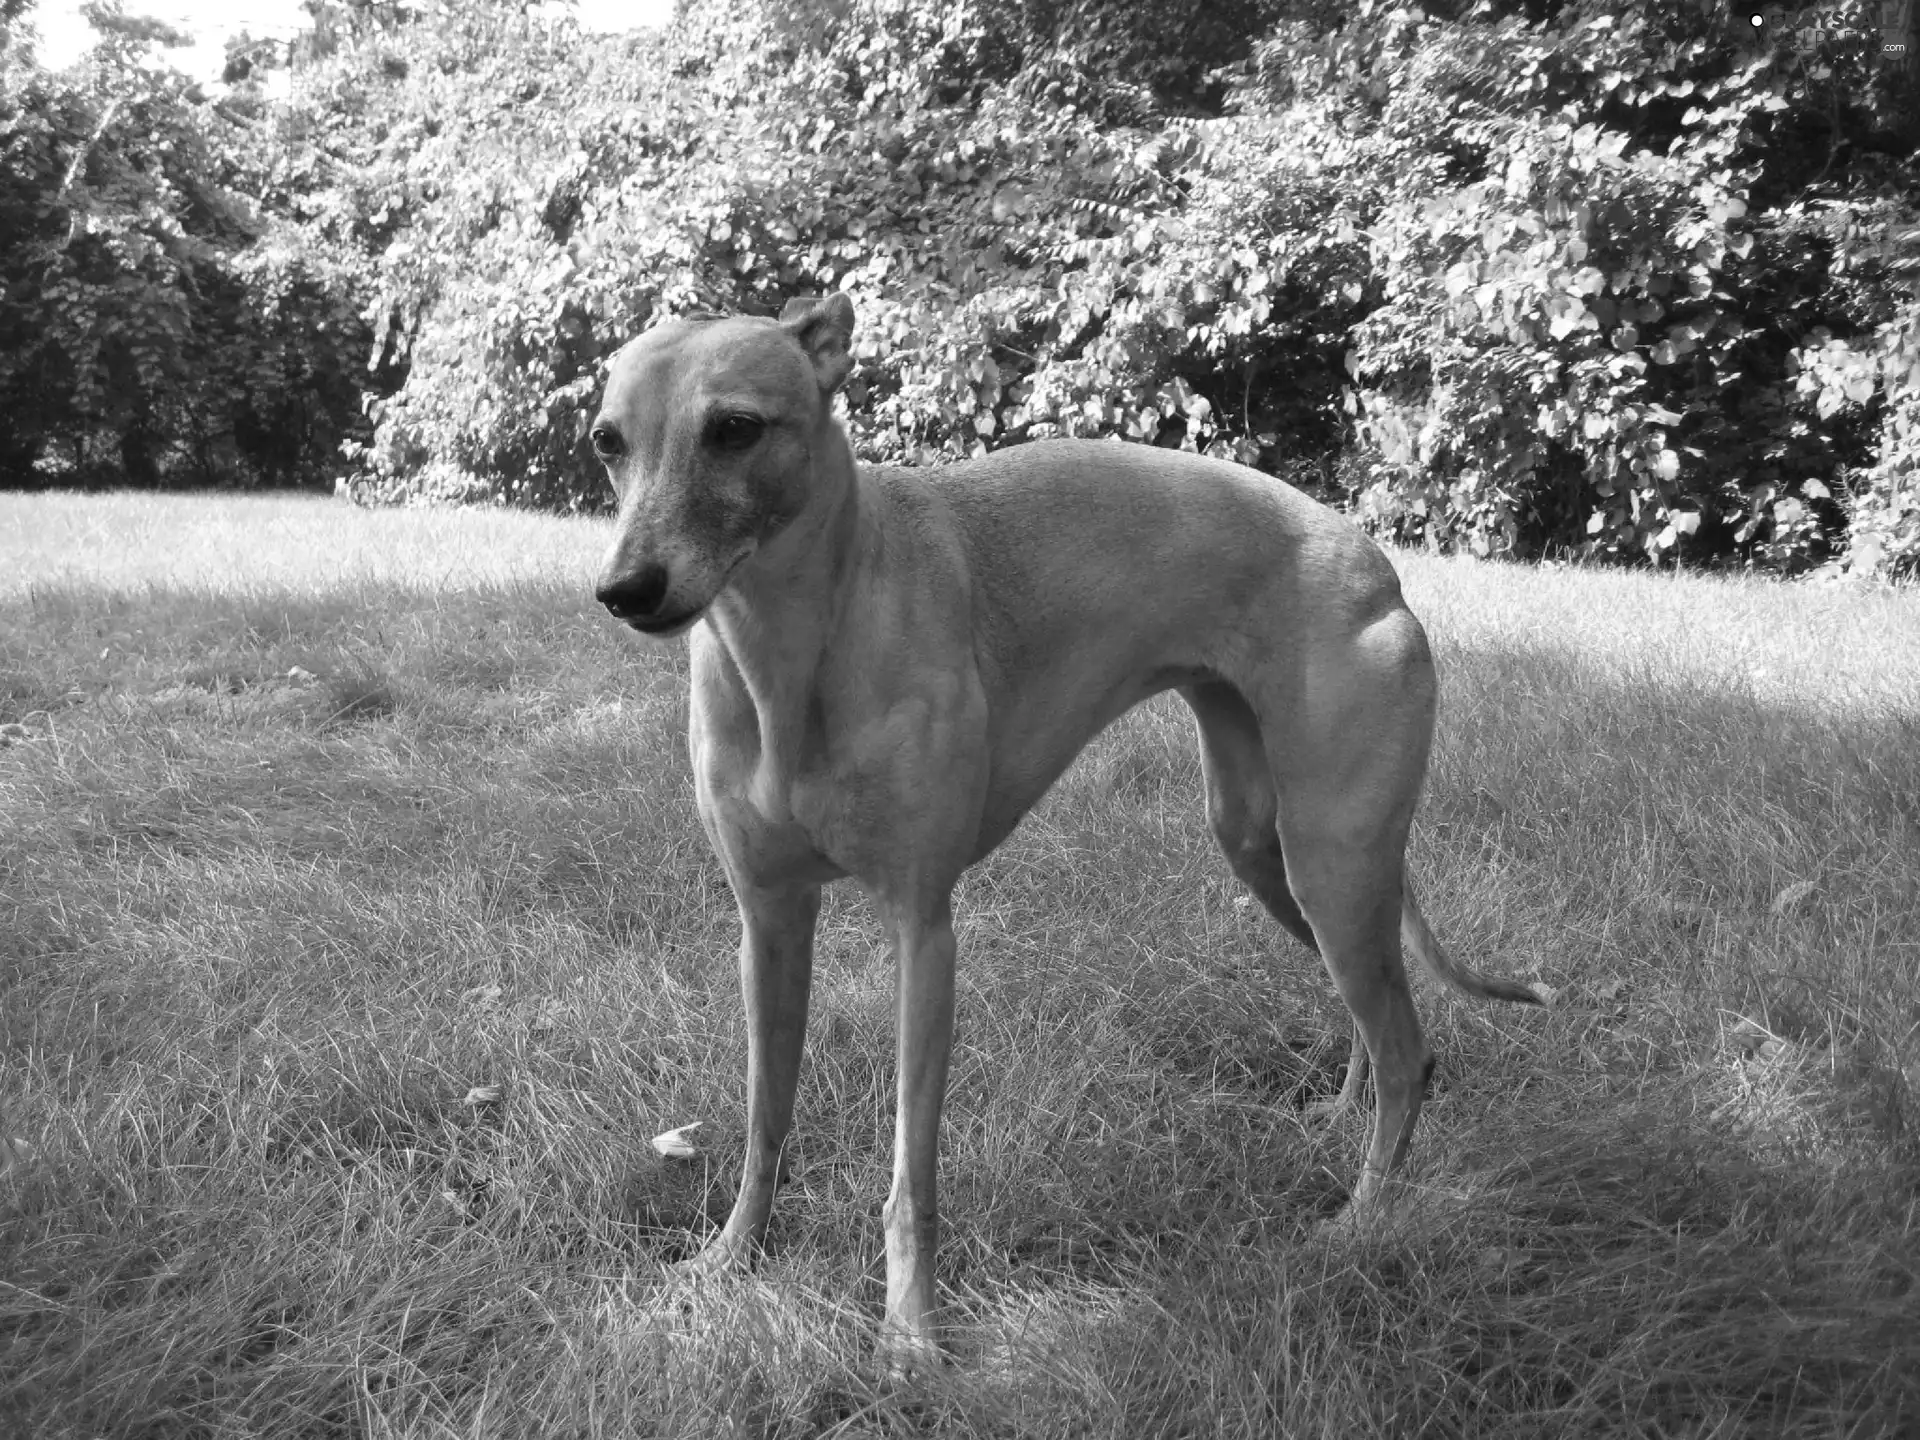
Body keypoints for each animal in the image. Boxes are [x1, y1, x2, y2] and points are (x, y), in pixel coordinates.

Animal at [587, 293, 1543, 1374]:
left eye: (735, 429)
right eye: (607, 442)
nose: (625, 590)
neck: (793, 653)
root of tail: (1375, 563)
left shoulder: (924, 932)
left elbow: (912, 1168)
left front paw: (910, 1330)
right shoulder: (769, 923)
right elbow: (764, 1119)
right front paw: (732, 1259)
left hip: (1335, 860)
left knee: (1406, 1047)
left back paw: (1363, 1220)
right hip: (1270, 847)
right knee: (1378, 1025)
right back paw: (1341, 1119)